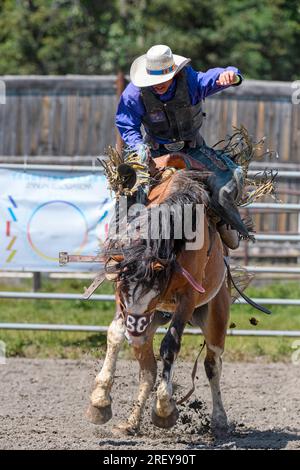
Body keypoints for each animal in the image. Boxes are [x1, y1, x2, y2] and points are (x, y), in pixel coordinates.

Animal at [85, 169, 231, 436]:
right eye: (123, 289)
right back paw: (131, 422)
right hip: (151, 326)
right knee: (148, 372)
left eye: (155, 288)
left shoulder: (187, 299)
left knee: (212, 364)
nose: (135, 325)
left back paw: (219, 419)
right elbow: (115, 334)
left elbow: (170, 346)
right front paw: (99, 401)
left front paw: (164, 408)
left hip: (215, 319)